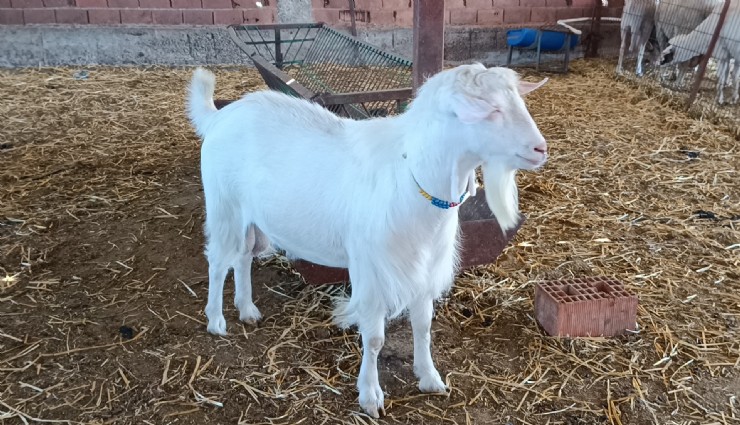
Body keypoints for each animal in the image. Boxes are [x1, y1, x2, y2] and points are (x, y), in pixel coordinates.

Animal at [188, 63, 548, 418]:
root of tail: (219, 116)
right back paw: (216, 320)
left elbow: (423, 326)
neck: (409, 175)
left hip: (249, 216)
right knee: (218, 262)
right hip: (224, 206)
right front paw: (370, 395)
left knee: (243, 256)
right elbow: (374, 339)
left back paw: (247, 308)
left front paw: (429, 377)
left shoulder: (424, 267)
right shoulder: (374, 270)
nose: (540, 149)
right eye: (491, 109)